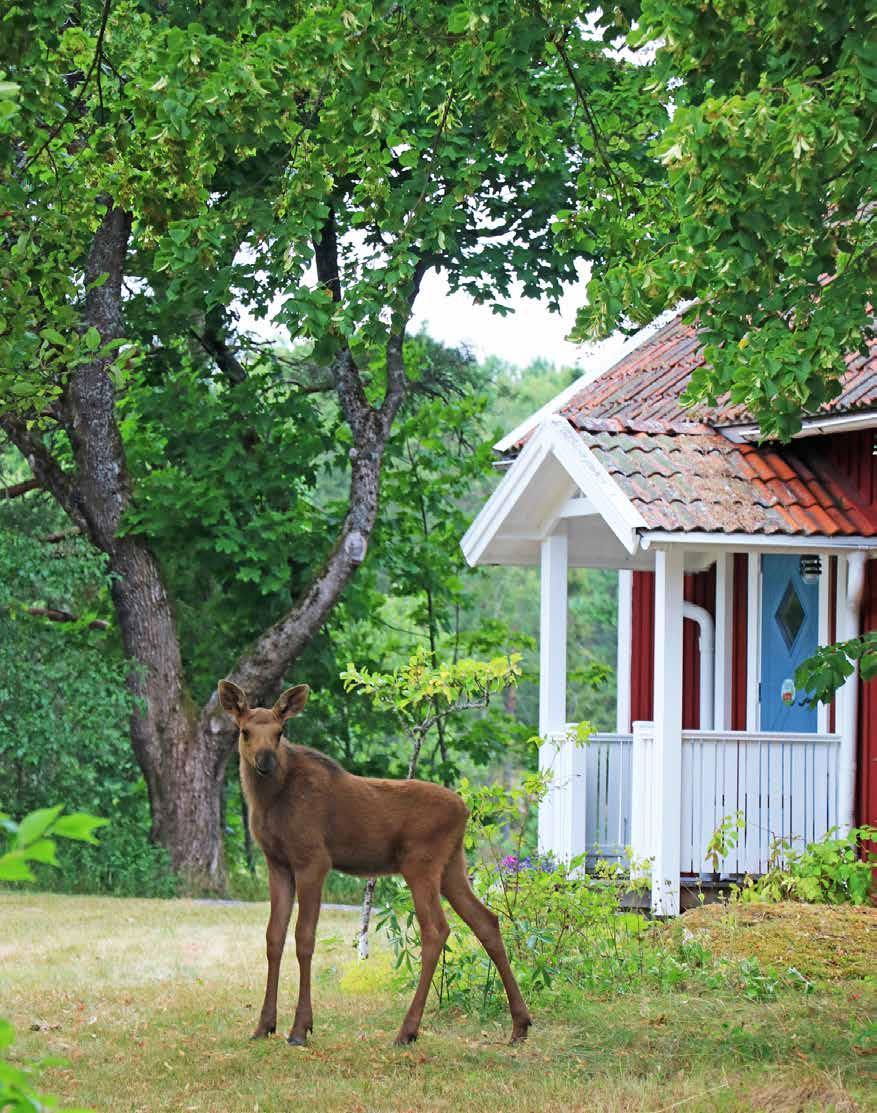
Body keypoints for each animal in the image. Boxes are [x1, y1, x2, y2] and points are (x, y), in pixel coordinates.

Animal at [219, 672, 534, 1046]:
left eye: (280, 732)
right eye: (244, 731)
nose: (265, 761)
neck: (269, 802)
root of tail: (466, 810)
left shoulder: (313, 860)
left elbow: (304, 938)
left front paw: (300, 1028)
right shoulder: (277, 863)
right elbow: (273, 938)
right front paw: (264, 1025)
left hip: (420, 864)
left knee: (436, 930)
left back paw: (407, 1029)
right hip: (452, 866)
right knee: (486, 921)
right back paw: (520, 1024)